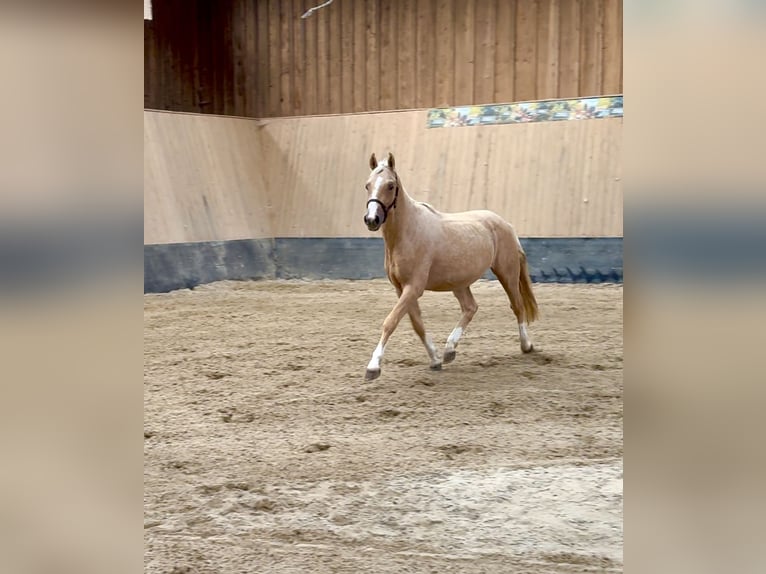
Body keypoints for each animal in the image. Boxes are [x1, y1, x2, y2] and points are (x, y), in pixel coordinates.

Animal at [362, 153, 536, 382]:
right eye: (367, 185)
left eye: (390, 185)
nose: (371, 219)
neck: (407, 232)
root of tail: (506, 225)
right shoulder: (402, 289)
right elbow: (417, 324)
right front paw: (435, 360)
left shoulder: (414, 287)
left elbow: (390, 321)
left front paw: (373, 367)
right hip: (460, 283)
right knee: (470, 307)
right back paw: (449, 349)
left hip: (507, 273)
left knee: (517, 306)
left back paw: (526, 345)